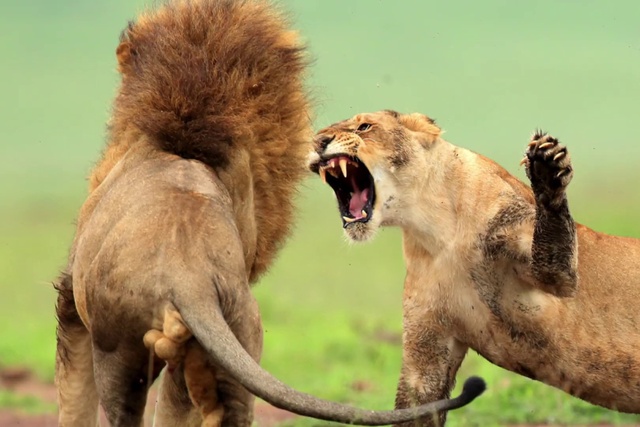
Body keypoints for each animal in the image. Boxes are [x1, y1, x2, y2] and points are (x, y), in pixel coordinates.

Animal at [53, 2, 486, 426]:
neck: (180, 144)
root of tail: (187, 277)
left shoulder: (71, 296)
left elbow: (74, 397)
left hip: (119, 348)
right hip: (239, 341)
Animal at [309, 109, 640, 426]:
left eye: (364, 126)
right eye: (319, 133)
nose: (317, 142)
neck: (433, 227)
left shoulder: (556, 274)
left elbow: (558, 265)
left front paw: (547, 169)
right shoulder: (427, 341)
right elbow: (417, 402)